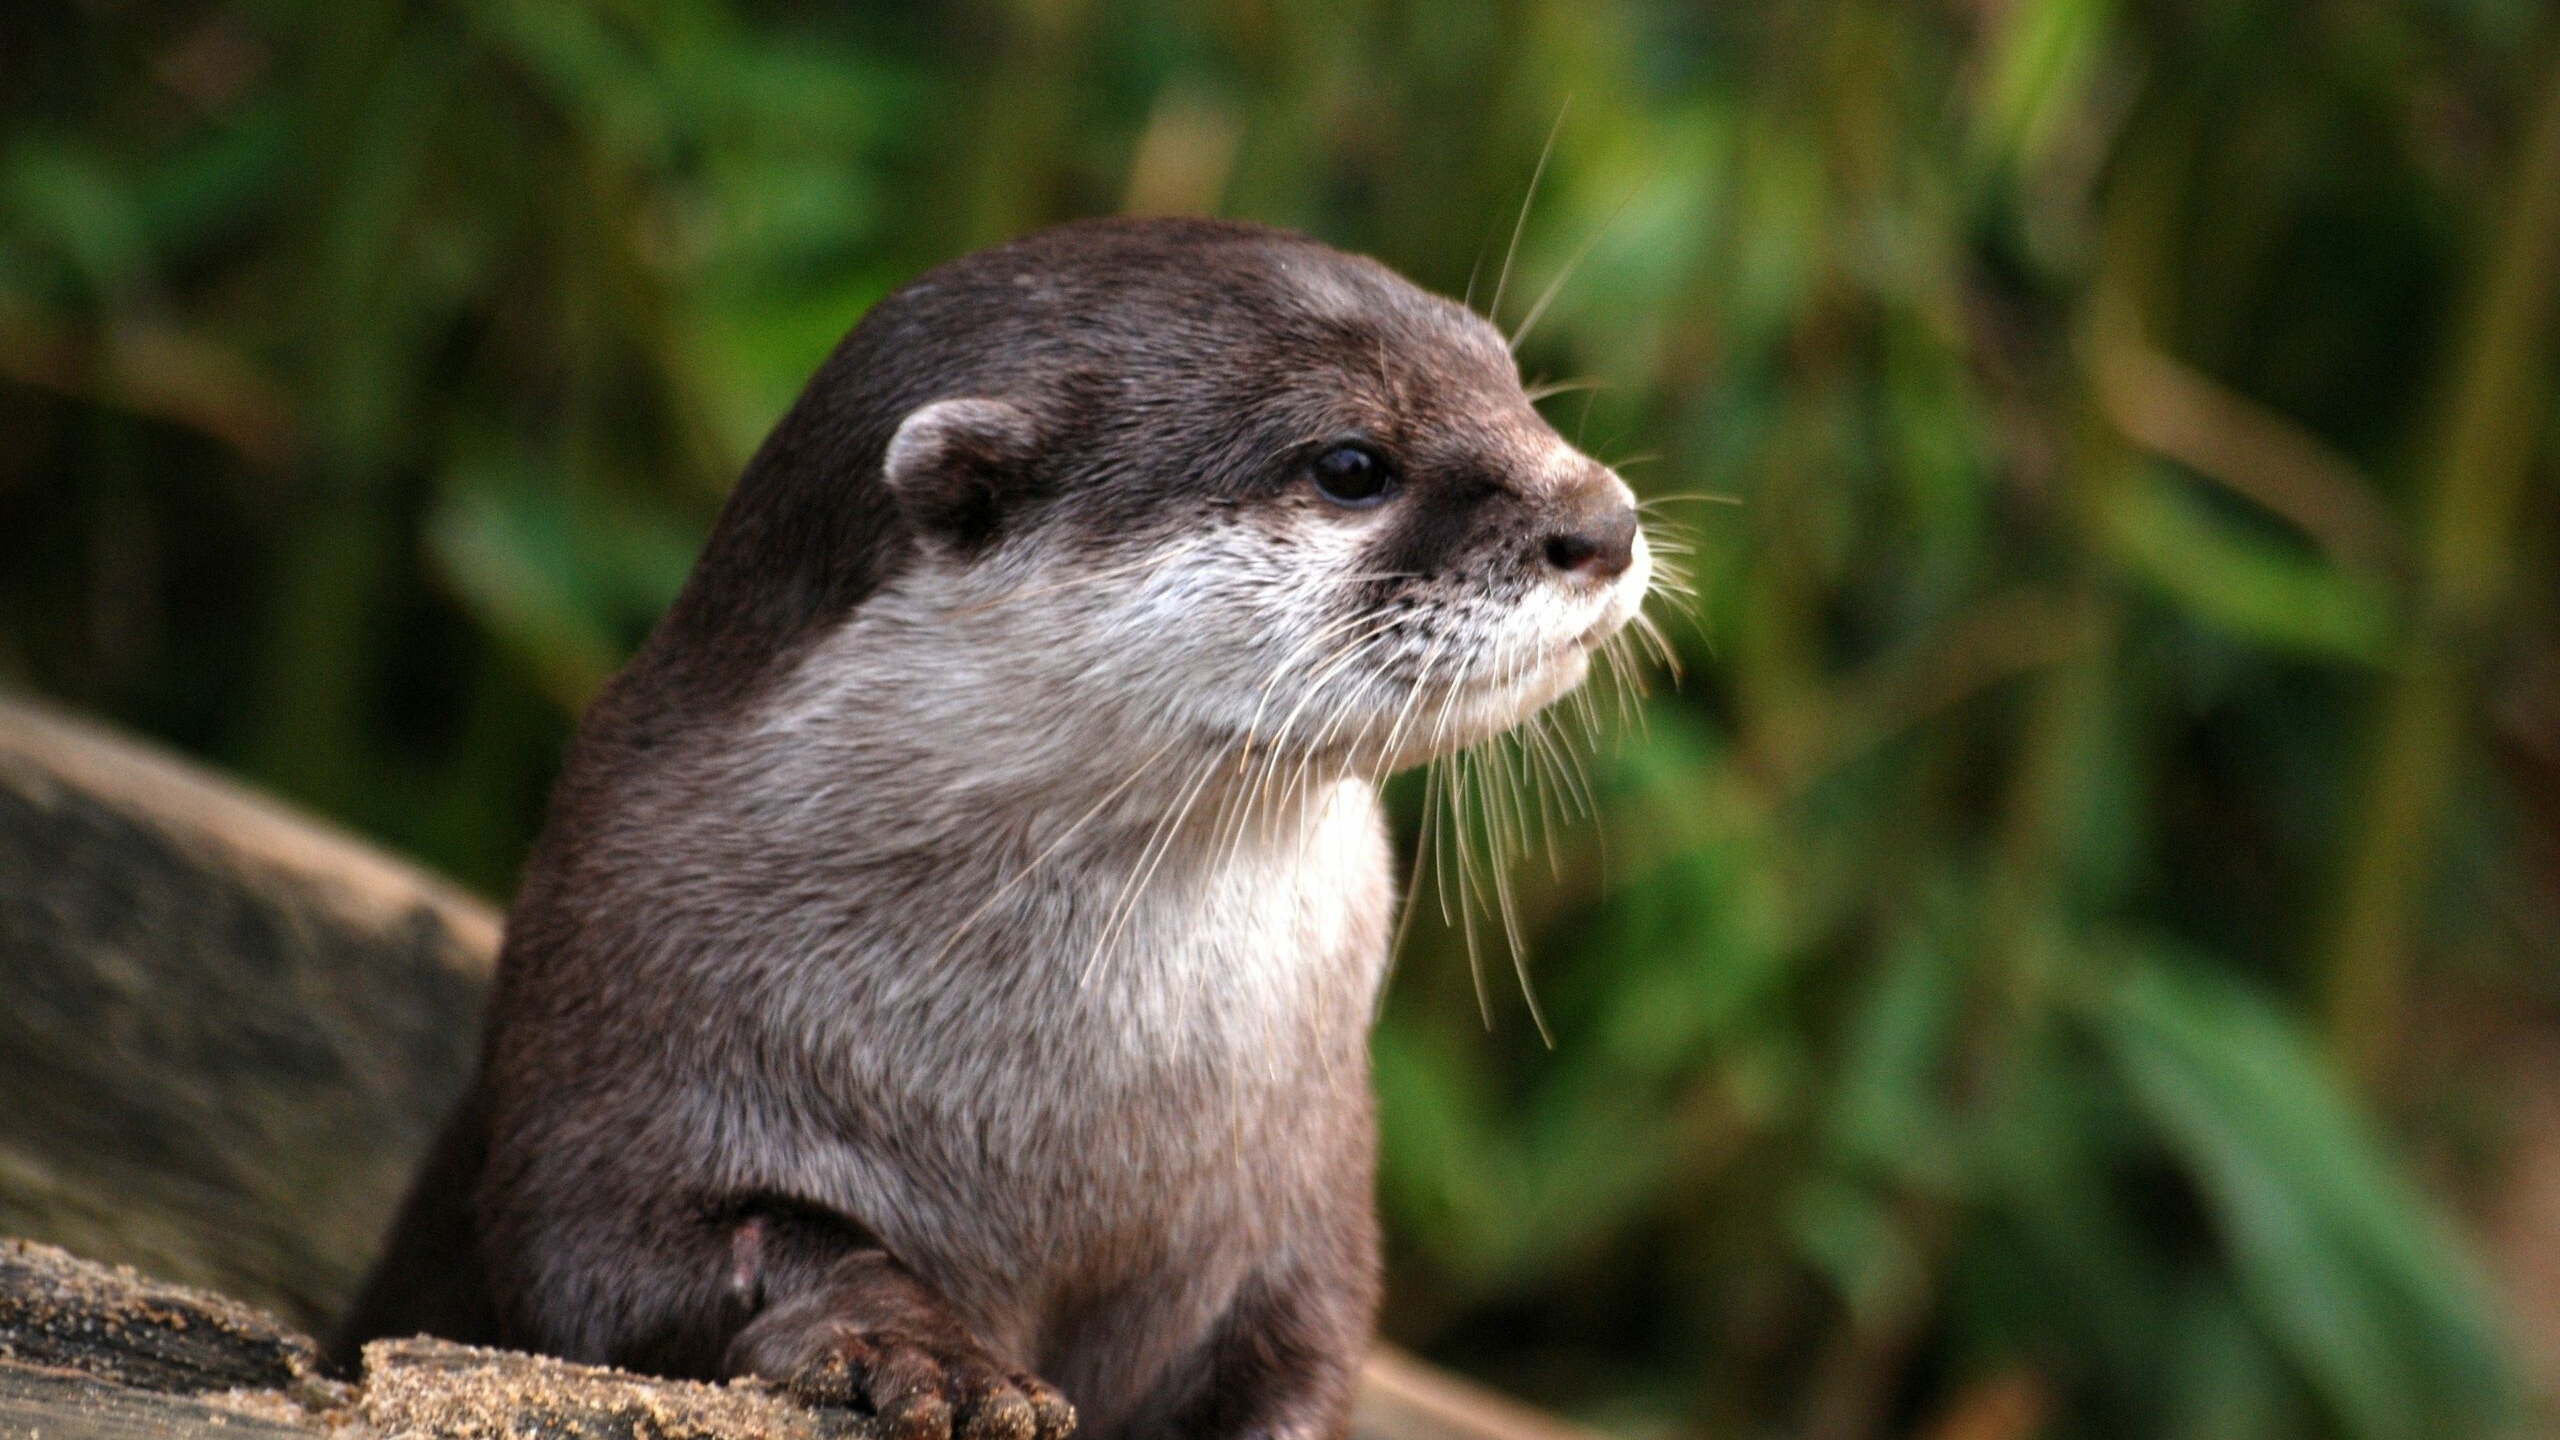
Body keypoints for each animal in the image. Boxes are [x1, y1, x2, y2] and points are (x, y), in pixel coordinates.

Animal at [335, 212, 1658, 1434]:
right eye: (1349, 463)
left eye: (1507, 378)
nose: (1603, 521)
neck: (1062, 1124)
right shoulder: (609, 1039)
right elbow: (631, 1261)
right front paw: (922, 1352)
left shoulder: (1304, 1212)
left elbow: (1305, 1355)